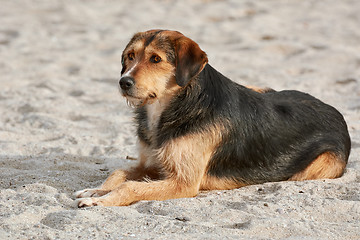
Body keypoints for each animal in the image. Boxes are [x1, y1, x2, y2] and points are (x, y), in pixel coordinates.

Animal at [75, 29, 348, 206]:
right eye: (130, 56)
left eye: (156, 59)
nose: (124, 82)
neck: (171, 107)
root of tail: (336, 112)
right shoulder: (151, 164)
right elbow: (118, 173)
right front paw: (95, 191)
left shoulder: (184, 182)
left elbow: (129, 185)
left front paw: (102, 200)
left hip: (314, 168)